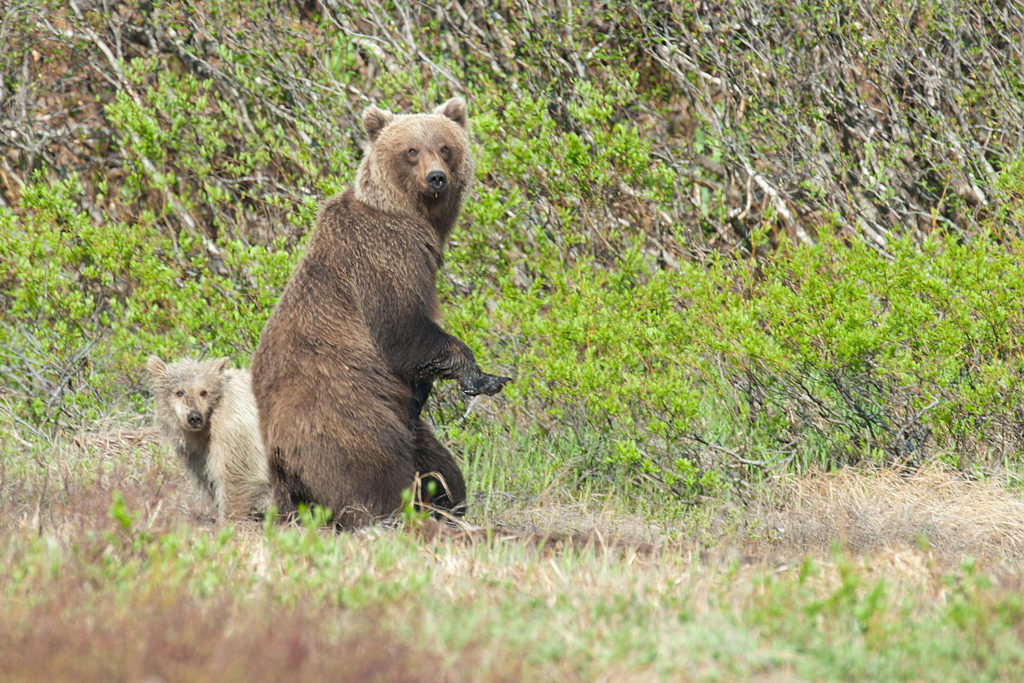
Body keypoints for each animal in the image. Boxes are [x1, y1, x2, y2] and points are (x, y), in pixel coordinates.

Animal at [249, 97, 509, 528]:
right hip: (351, 414)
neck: (414, 219)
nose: (436, 178)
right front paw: (482, 376)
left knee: (441, 468)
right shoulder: (384, 259)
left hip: (398, 427)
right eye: (411, 150)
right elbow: (404, 332)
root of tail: (279, 456)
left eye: (445, 147)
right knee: (374, 472)